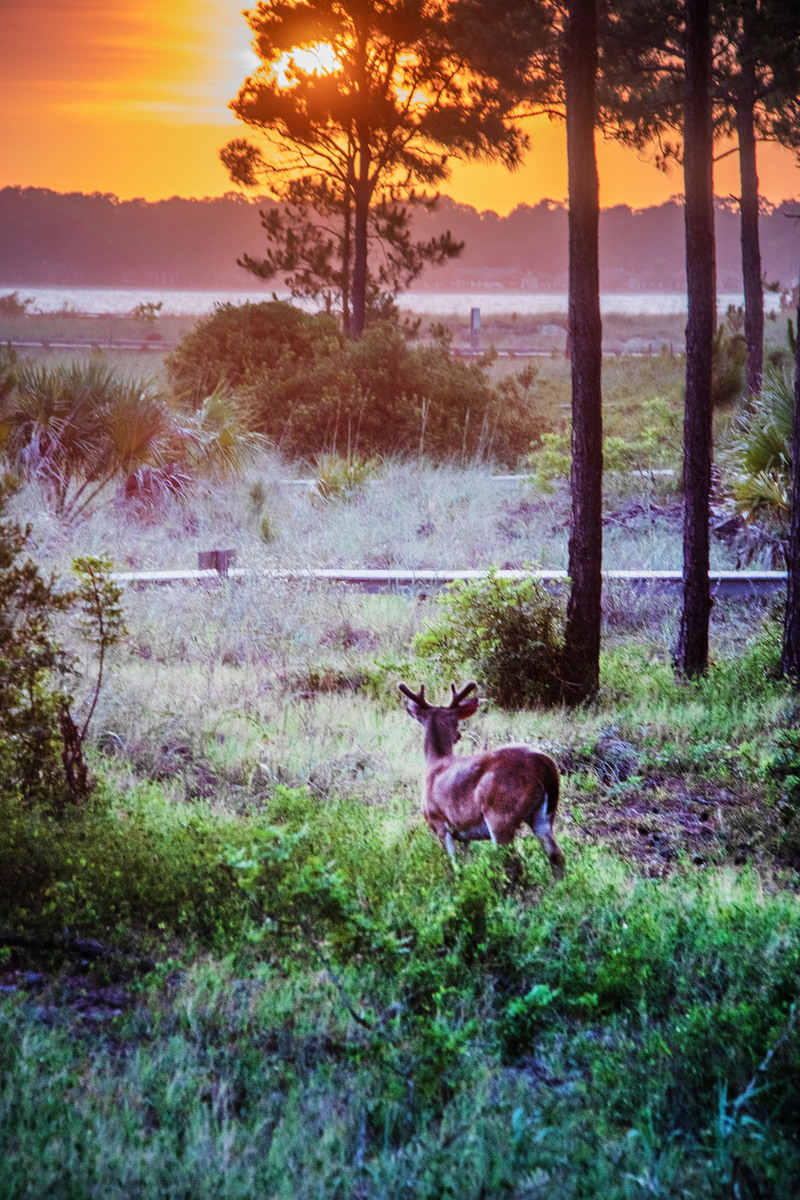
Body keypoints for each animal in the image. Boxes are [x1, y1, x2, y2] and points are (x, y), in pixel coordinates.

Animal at [398, 681, 563, 878]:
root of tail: (543, 763)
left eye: (456, 722)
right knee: (556, 856)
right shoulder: (463, 832)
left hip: (501, 814)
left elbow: (452, 863)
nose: (458, 735)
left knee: (513, 863)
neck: (436, 762)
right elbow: (466, 859)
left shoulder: (437, 822)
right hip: (543, 816)